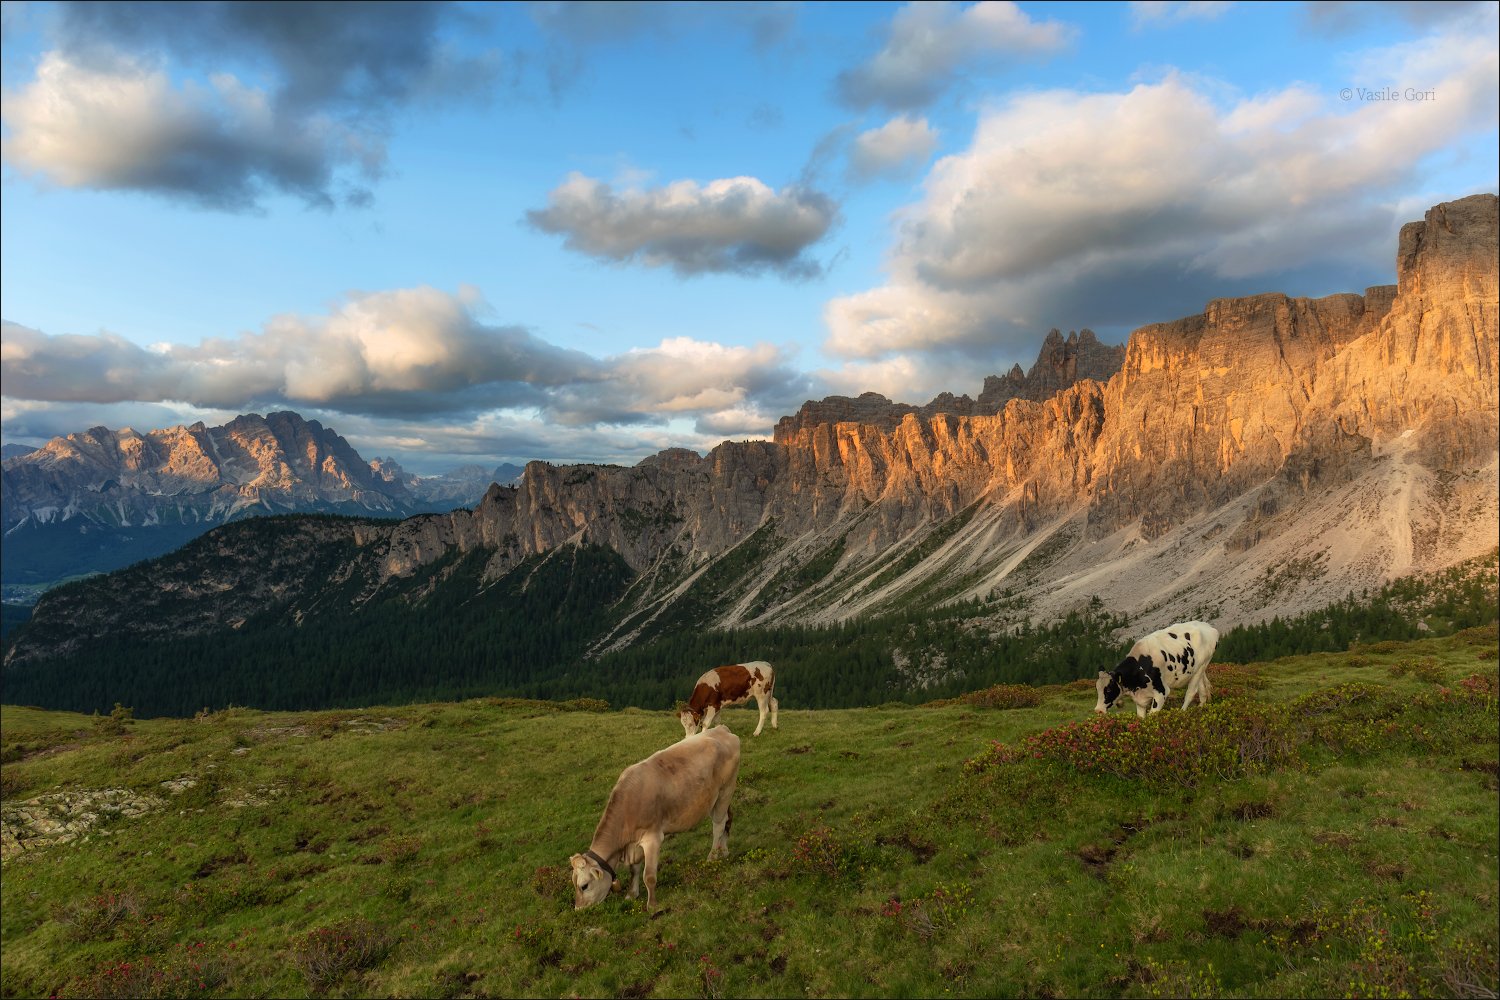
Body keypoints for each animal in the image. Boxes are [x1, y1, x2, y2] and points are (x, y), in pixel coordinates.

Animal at [567, 722, 738, 911]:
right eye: (574, 884)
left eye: (584, 886)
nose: (578, 909)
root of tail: (721, 729)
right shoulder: (634, 844)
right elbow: (634, 870)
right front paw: (631, 894)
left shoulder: (653, 838)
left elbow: (648, 876)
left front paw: (652, 905)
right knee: (728, 819)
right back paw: (724, 851)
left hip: (725, 790)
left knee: (719, 825)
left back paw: (712, 857)